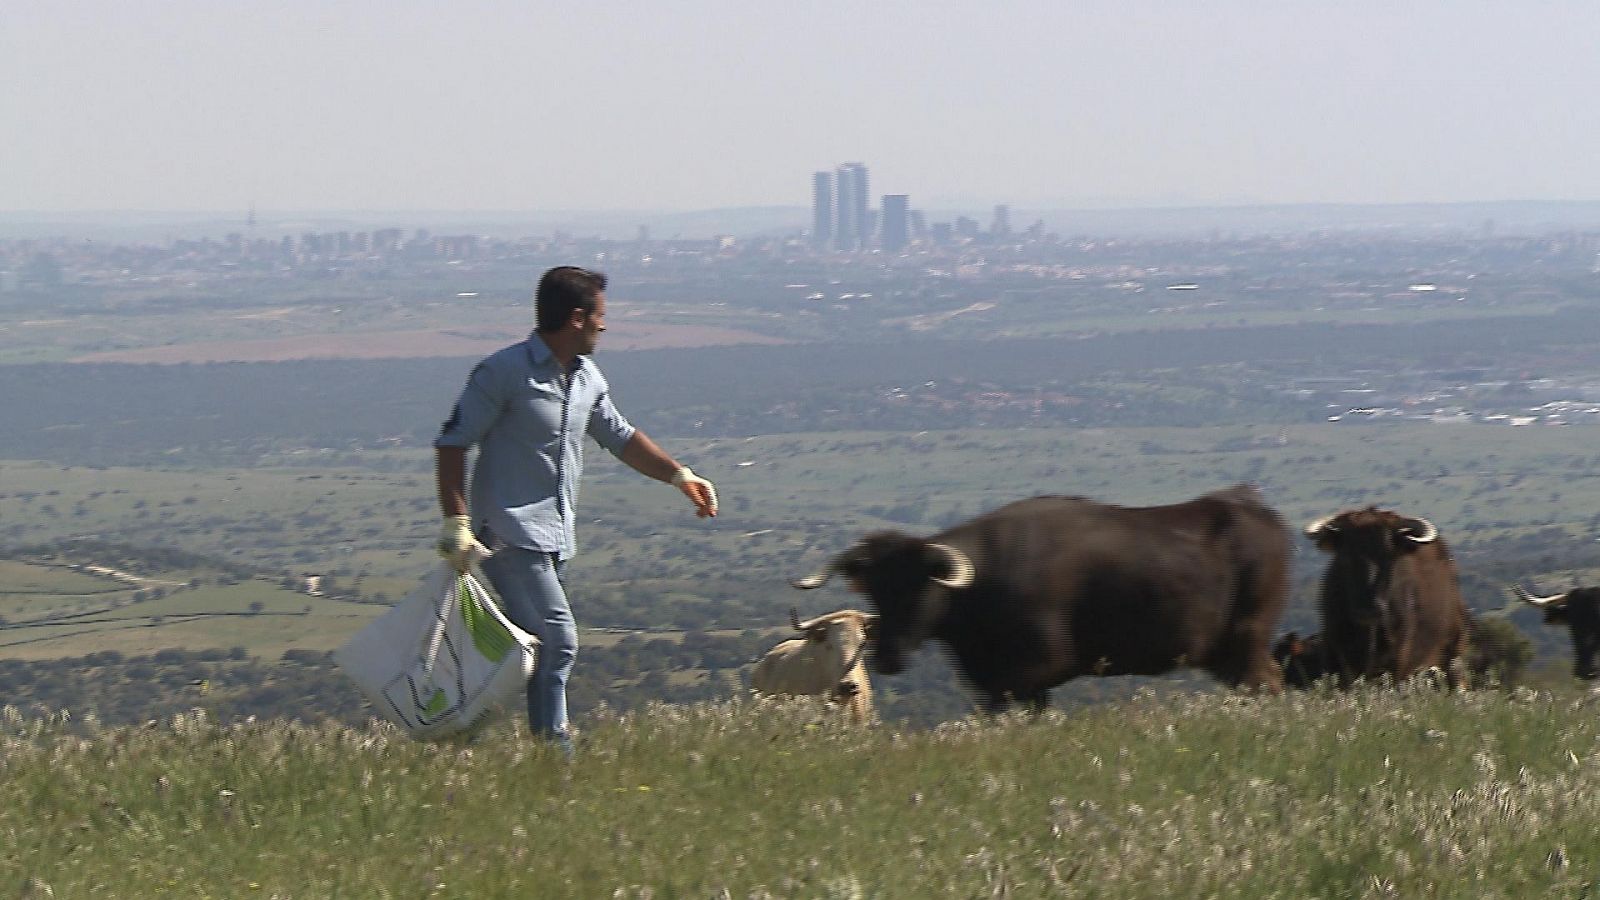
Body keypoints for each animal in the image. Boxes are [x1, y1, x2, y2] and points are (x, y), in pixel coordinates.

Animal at [793, 483, 1292, 707]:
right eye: (876, 590)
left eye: (921, 588)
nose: (888, 658)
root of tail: (1252, 505)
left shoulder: (1035, 673)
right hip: (1226, 653)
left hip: (1248, 639)